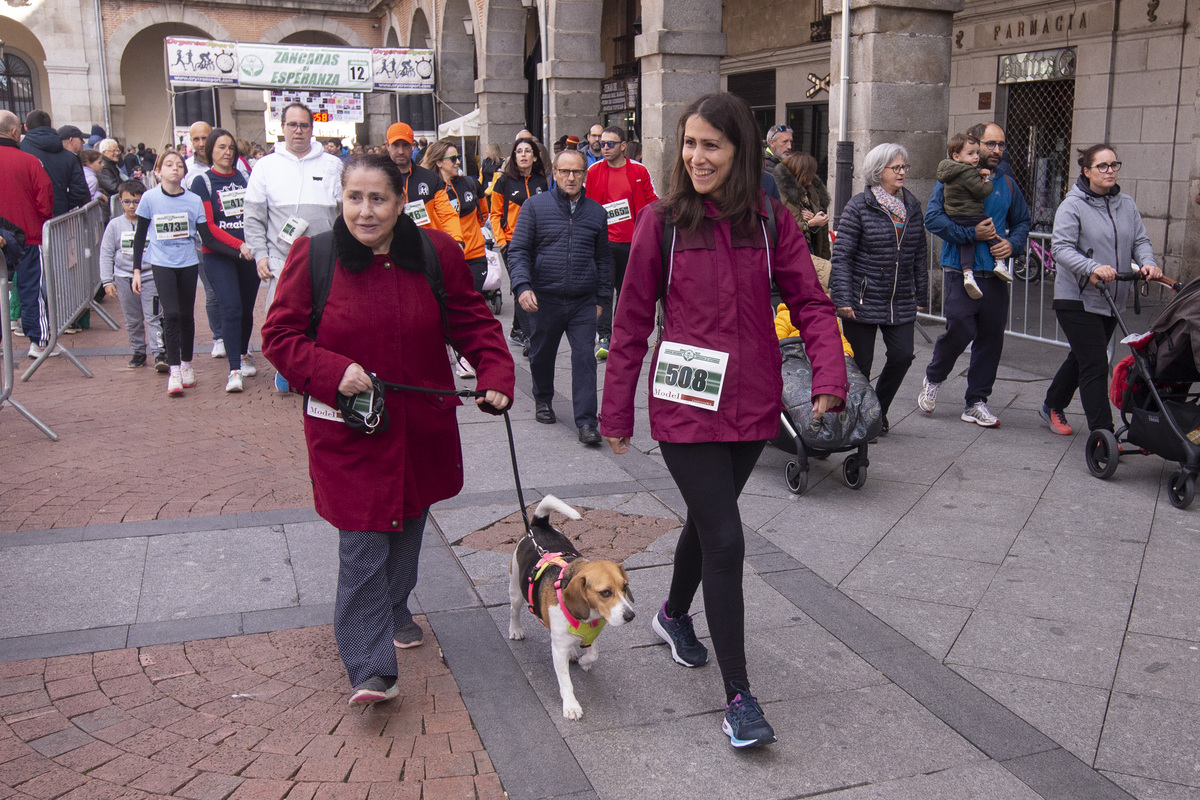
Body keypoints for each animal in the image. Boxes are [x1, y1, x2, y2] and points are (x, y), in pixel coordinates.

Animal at [508, 494, 638, 719]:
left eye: (624, 586)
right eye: (605, 592)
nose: (630, 616)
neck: (587, 616)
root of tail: (539, 526)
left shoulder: (592, 634)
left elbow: (593, 654)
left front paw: (585, 661)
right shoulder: (558, 648)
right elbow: (565, 681)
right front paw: (571, 705)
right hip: (516, 588)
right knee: (514, 610)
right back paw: (515, 629)